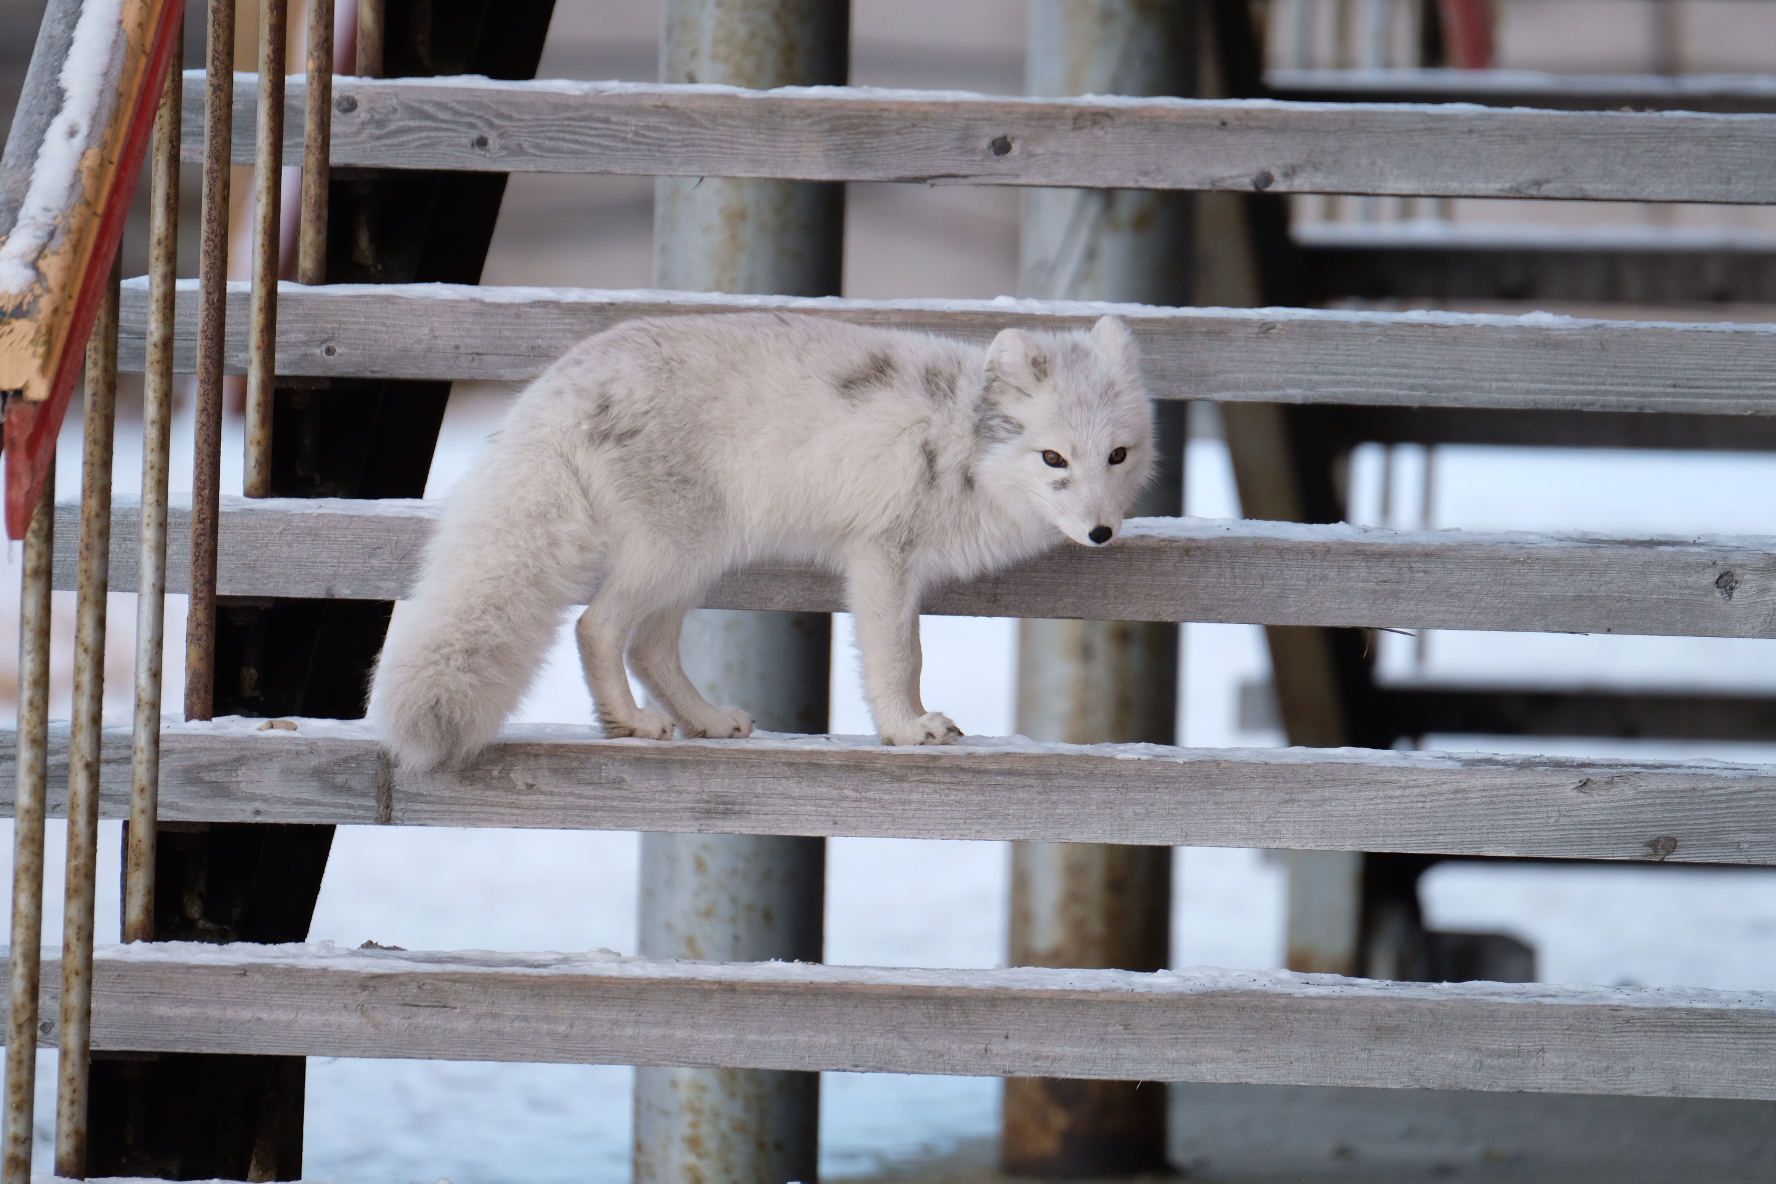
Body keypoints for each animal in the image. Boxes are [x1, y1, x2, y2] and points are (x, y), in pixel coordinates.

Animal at [367, 310, 1157, 770]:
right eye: (1053, 459)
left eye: (1117, 456)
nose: (1100, 533)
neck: (959, 441)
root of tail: (553, 387)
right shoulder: (881, 559)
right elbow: (897, 659)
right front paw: (905, 729)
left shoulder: (898, 570)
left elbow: (911, 654)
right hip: (672, 555)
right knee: (597, 628)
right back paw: (632, 723)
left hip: (697, 562)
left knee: (649, 647)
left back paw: (706, 722)